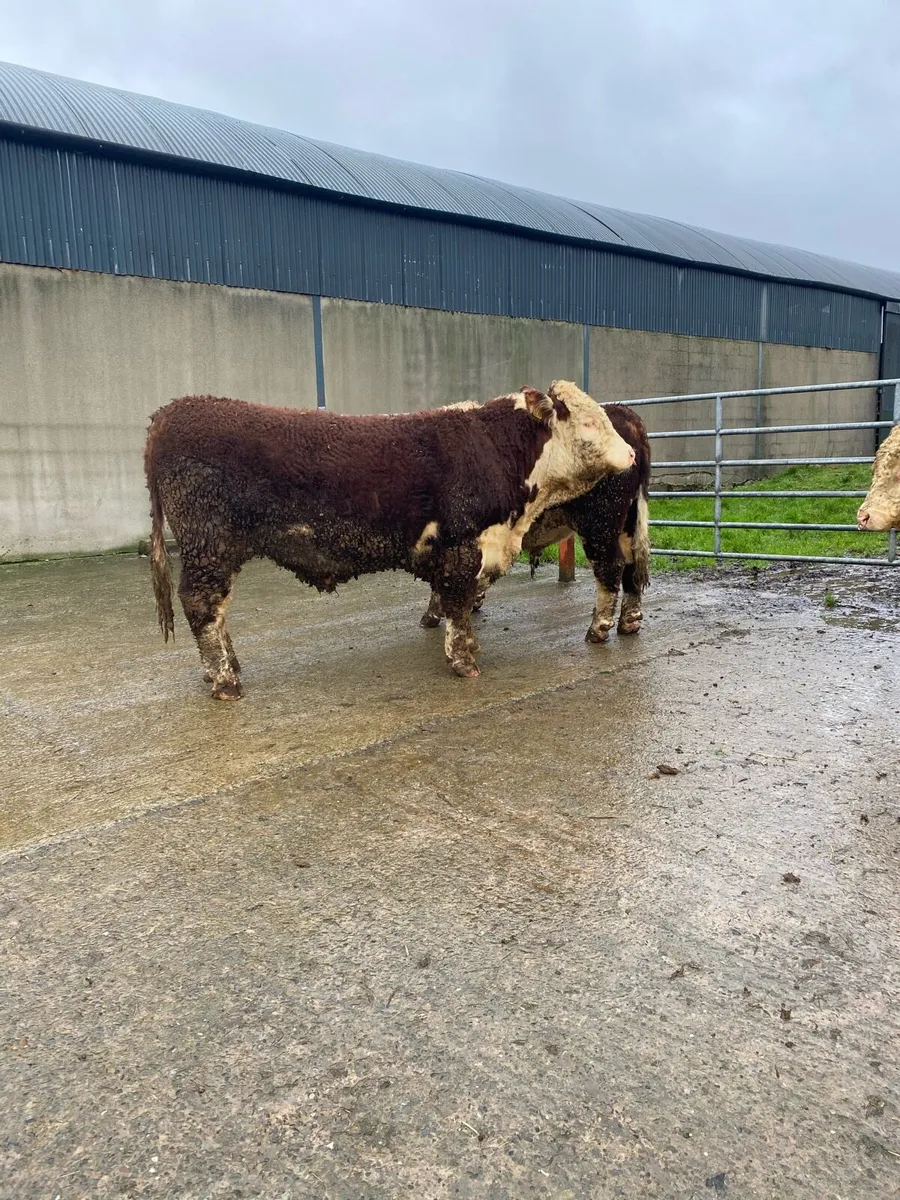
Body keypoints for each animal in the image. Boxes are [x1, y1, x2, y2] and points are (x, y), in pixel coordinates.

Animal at [420, 404, 651, 643]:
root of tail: (623, 412)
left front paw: (432, 616)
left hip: (599, 523)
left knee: (611, 565)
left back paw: (597, 629)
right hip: (627, 524)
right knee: (631, 565)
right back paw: (629, 622)